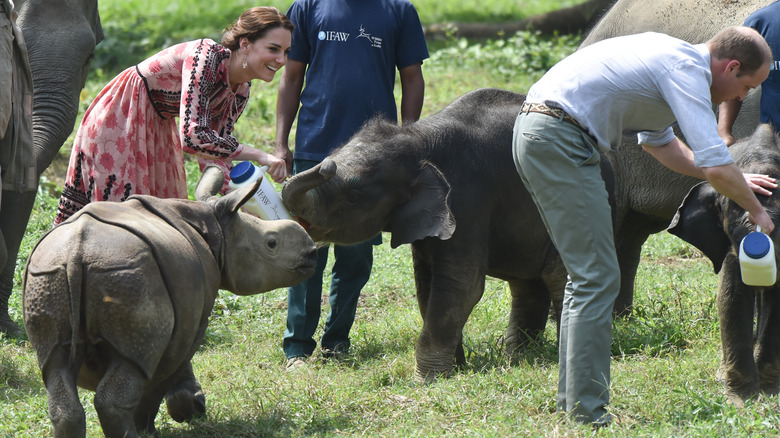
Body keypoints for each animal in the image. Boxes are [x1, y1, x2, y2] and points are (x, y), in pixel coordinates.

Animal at [24, 181, 316, 438]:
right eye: (271, 243)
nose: (312, 253)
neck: (217, 228)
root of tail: (77, 252)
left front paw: (190, 408)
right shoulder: (191, 320)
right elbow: (167, 372)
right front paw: (166, 421)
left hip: (48, 274)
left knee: (54, 365)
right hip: (128, 276)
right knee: (128, 371)